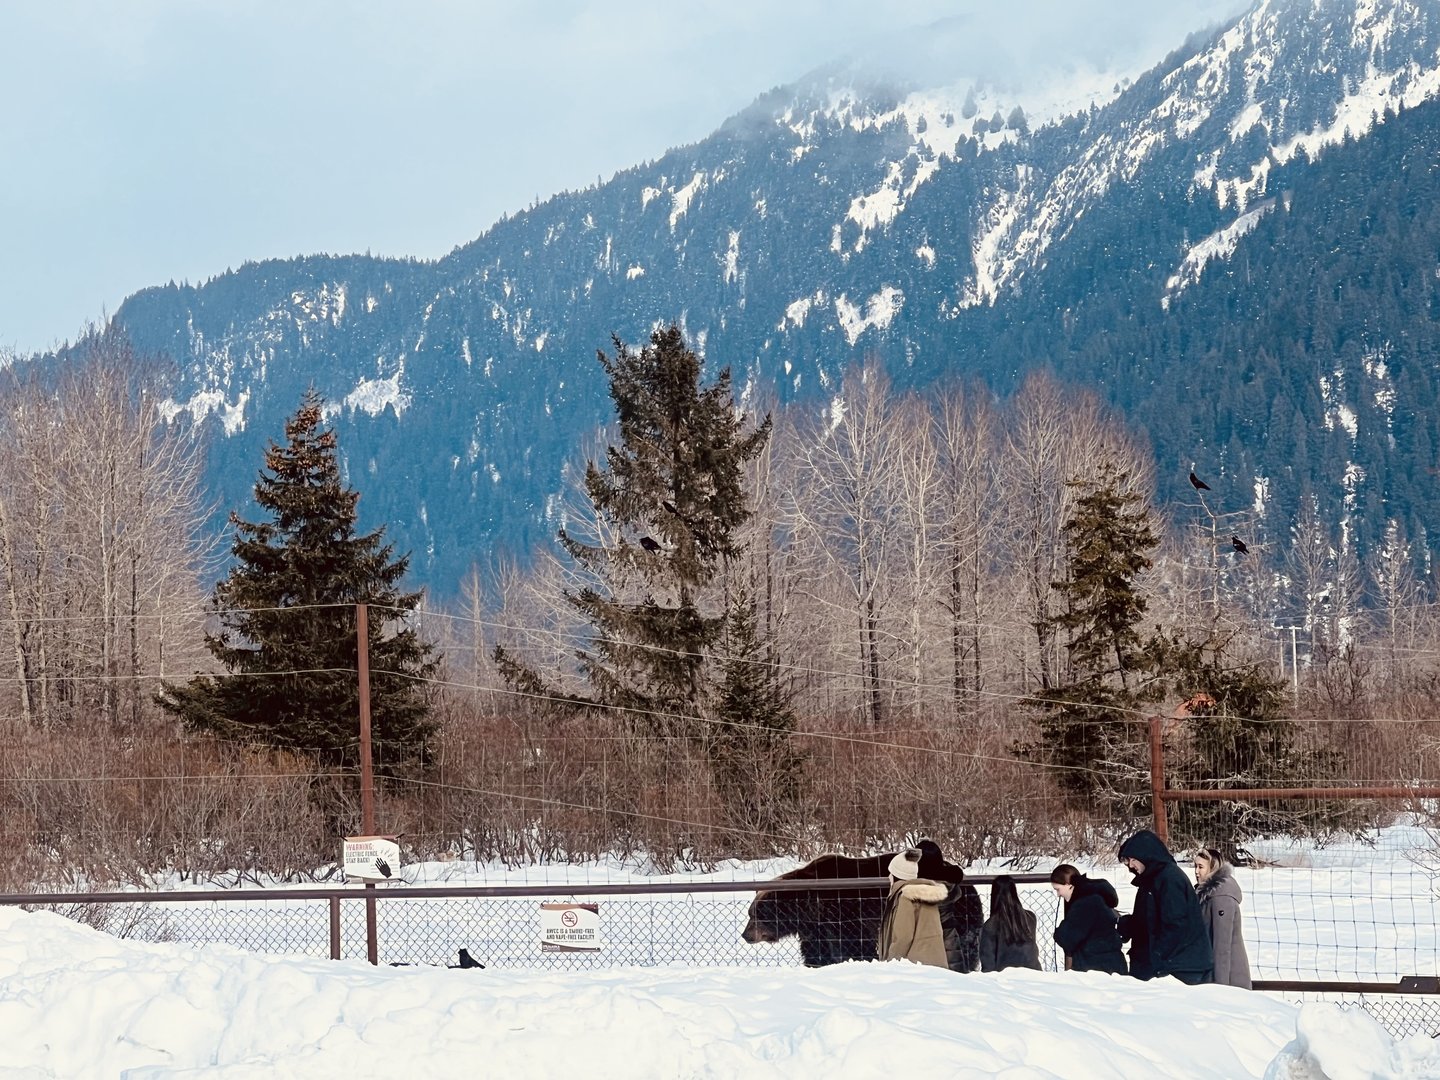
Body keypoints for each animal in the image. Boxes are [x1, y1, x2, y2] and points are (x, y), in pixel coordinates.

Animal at [742, 851, 985, 970]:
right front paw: (815, 964)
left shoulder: (842, 911)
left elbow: (853, 945)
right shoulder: (815, 928)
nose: (745, 935)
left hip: (963, 915)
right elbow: (816, 949)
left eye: (756, 915)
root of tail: (971, 886)